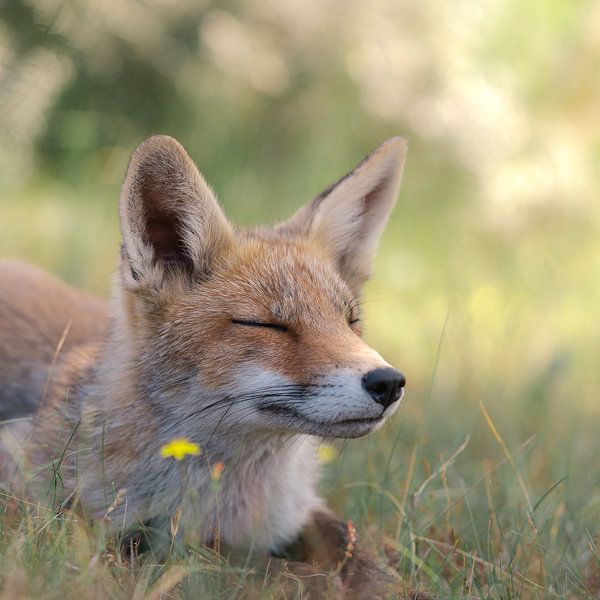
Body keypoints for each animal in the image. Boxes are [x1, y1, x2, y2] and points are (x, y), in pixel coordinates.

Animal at [0, 135, 410, 596]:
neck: (236, 501)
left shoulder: (301, 511)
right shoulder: (37, 493)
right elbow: (234, 565)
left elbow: (360, 552)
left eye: (350, 321)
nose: (389, 382)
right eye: (267, 325)